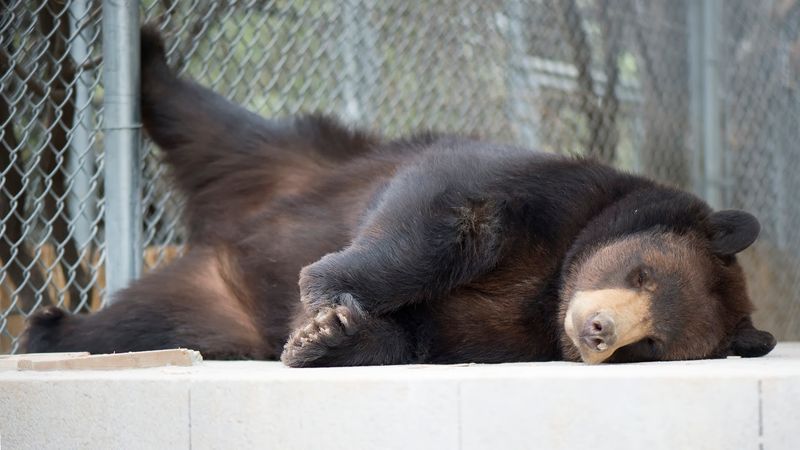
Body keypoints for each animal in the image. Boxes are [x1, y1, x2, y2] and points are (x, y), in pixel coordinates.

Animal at [22, 26, 776, 366]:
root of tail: (225, 236)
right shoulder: (555, 189)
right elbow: (449, 211)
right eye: (639, 270)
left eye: (649, 345)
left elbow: (421, 336)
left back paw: (50, 332)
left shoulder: (509, 337)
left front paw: (323, 337)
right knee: (208, 118)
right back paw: (145, 50)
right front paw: (326, 296)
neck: (554, 283)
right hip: (304, 157)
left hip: (215, 308)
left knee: (147, 324)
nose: (597, 330)